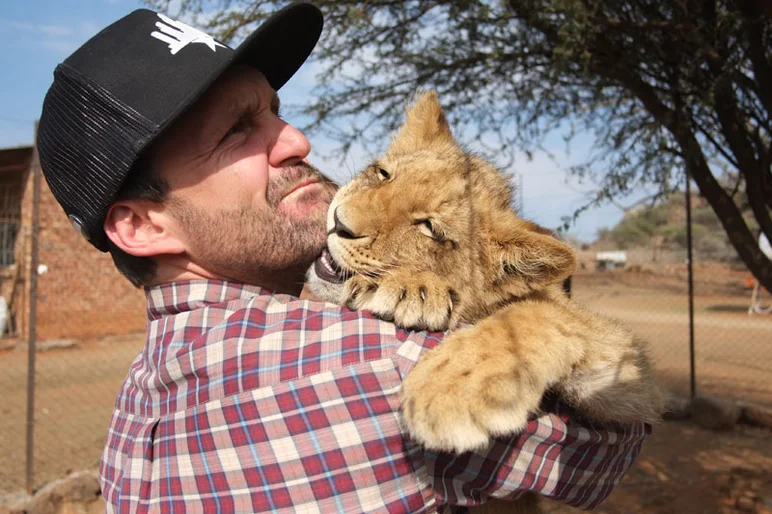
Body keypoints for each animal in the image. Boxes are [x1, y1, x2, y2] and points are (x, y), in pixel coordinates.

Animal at [307, 90, 663, 513]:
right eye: (382, 174)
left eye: (429, 228)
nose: (338, 222)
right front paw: (414, 287)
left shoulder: (632, 385)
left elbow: (535, 313)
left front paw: (452, 385)